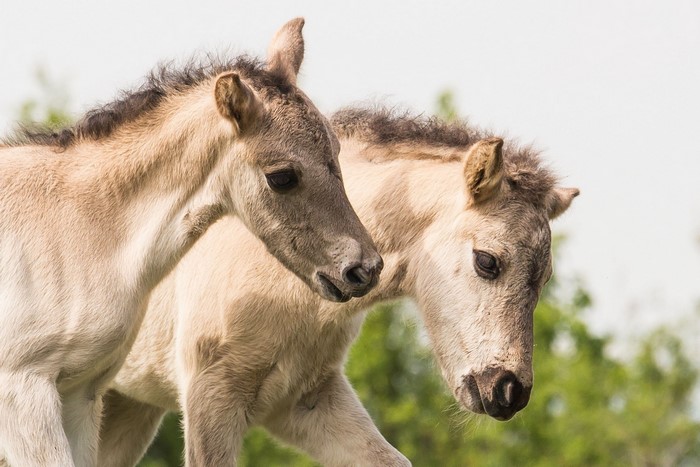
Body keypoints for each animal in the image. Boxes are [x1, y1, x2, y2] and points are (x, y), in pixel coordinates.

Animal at [0, 19, 382, 467]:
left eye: (337, 150)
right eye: (282, 176)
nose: (364, 269)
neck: (78, 228)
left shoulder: (80, 393)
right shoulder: (24, 389)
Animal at [98, 107, 579, 466]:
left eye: (543, 280)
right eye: (487, 261)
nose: (509, 392)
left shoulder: (305, 401)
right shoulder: (211, 398)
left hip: (129, 406)